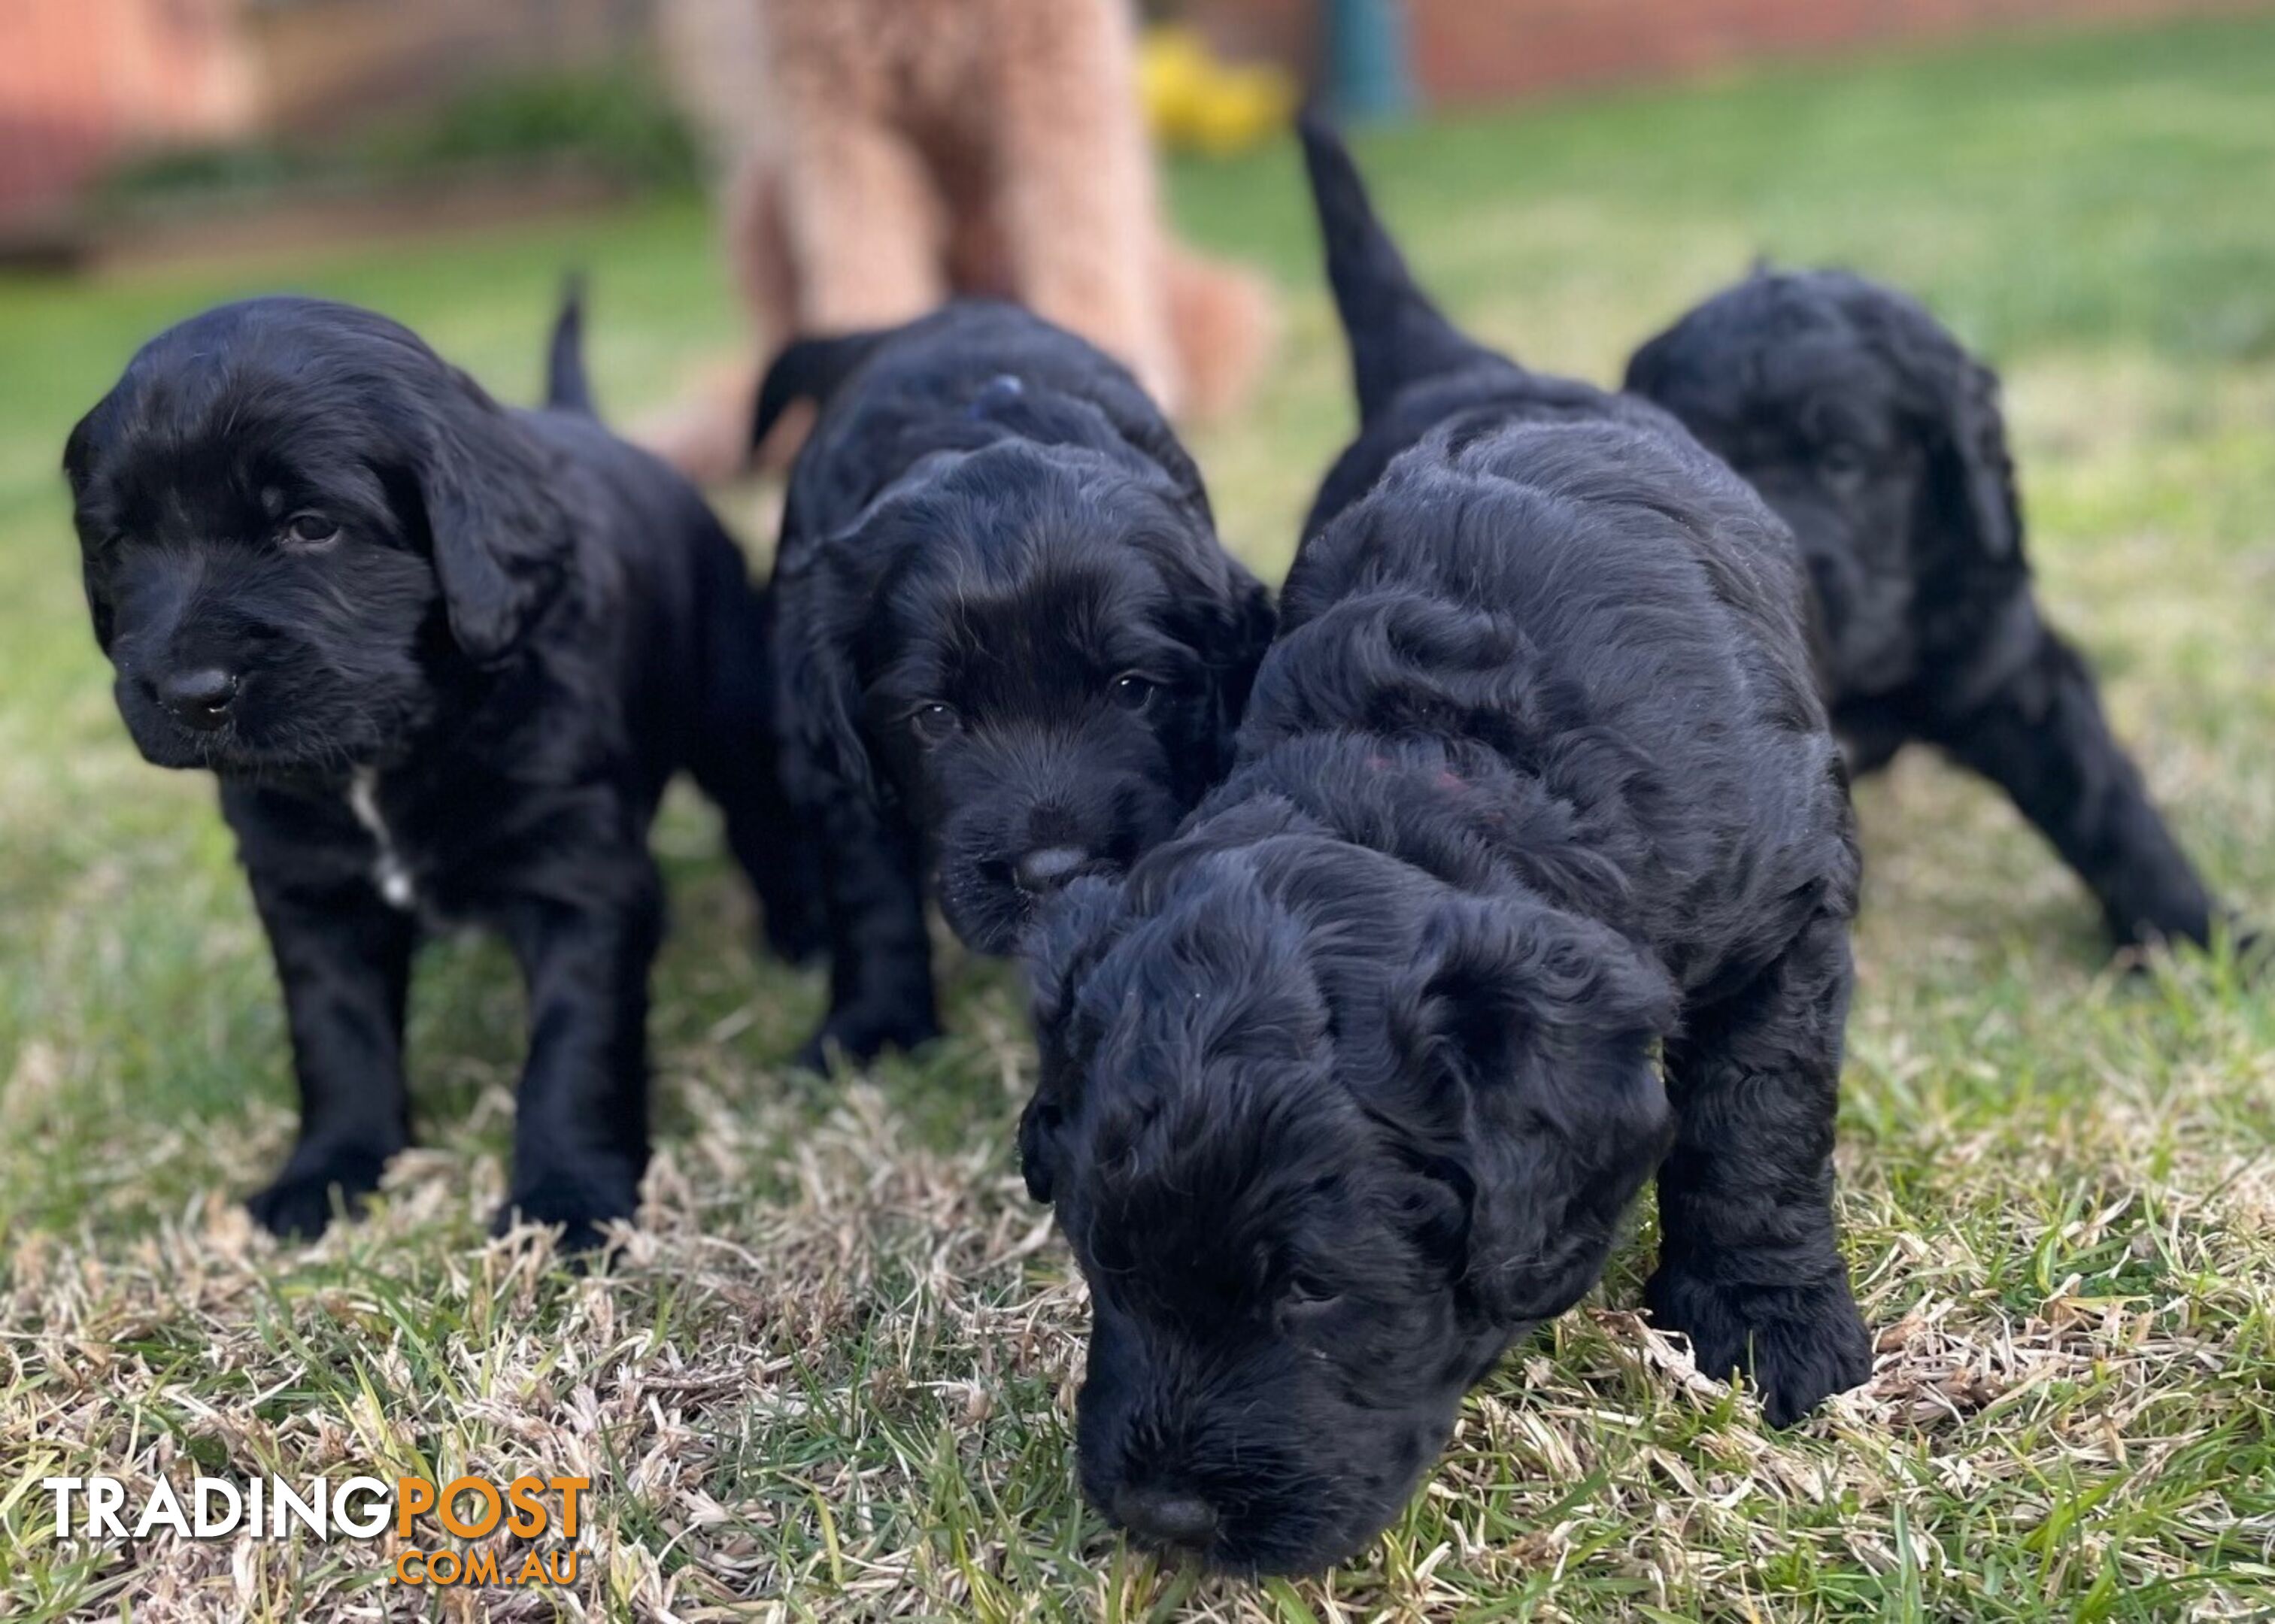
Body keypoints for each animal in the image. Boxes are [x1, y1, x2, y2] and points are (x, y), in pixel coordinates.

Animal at [64, 287, 819, 1237]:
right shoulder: (307, 887)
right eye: (120, 544)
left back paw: (797, 936)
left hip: (733, 710)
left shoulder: (579, 877)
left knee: (762, 817)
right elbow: (336, 1036)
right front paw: (329, 1172)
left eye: (310, 528)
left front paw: (567, 1200)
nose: (188, 693)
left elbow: (575, 1046)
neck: (387, 751)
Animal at [751, 300, 1274, 1064]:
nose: (1055, 873)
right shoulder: (836, 771)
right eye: (936, 716)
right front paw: (874, 1027)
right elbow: (869, 892)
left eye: (1132, 689)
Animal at [1024, 120, 1874, 1574]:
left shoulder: (1788, 901)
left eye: (1314, 1288)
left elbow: (1756, 1116)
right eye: (1100, 1256)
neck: (1433, 753)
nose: (1164, 1521)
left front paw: (1766, 1314)